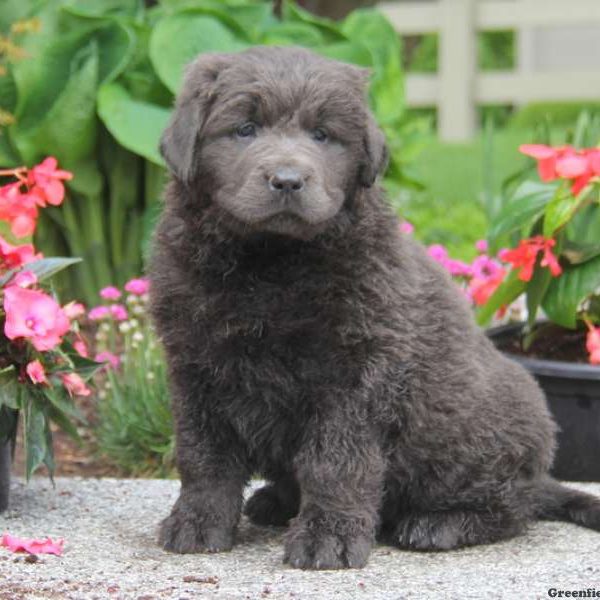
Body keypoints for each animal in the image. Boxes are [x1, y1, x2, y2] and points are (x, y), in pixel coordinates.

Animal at [149, 45, 600, 568]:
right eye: (244, 129)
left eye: (323, 135)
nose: (288, 181)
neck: (270, 262)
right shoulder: (195, 364)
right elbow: (204, 453)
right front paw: (198, 522)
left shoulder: (357, 375)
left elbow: (336, 461)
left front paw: (328, 537)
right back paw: (274, 501)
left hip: (485, 438)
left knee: (513, 506)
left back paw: (440, 524)